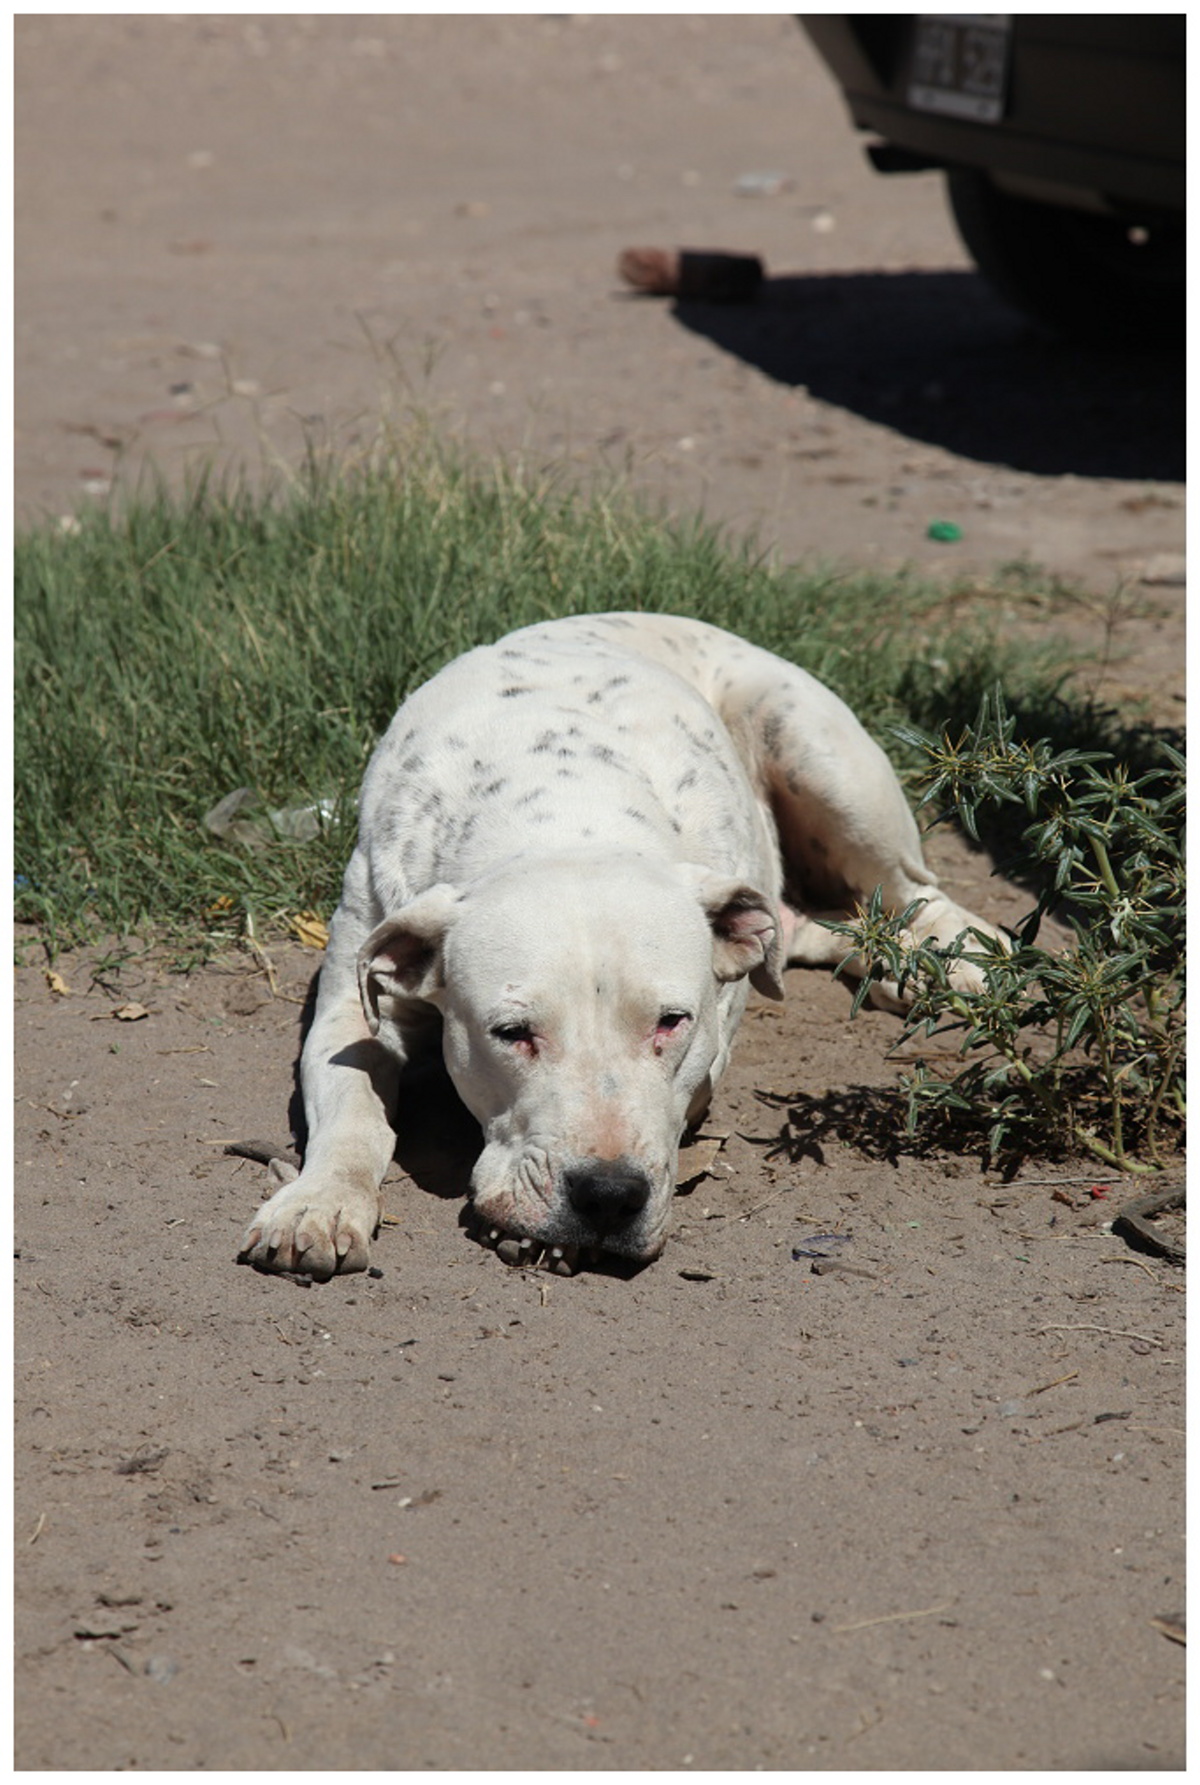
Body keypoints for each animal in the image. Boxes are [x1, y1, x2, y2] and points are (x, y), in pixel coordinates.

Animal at [237, 617, 1000, 1285]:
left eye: (671, 1022)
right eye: (511, 1033)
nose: (608, 1196)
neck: (564, 815)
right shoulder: (352, 1005)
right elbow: (352, 1107)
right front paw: (319, 1202)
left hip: (816, 752)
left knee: (913, 889)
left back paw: (954, 963)